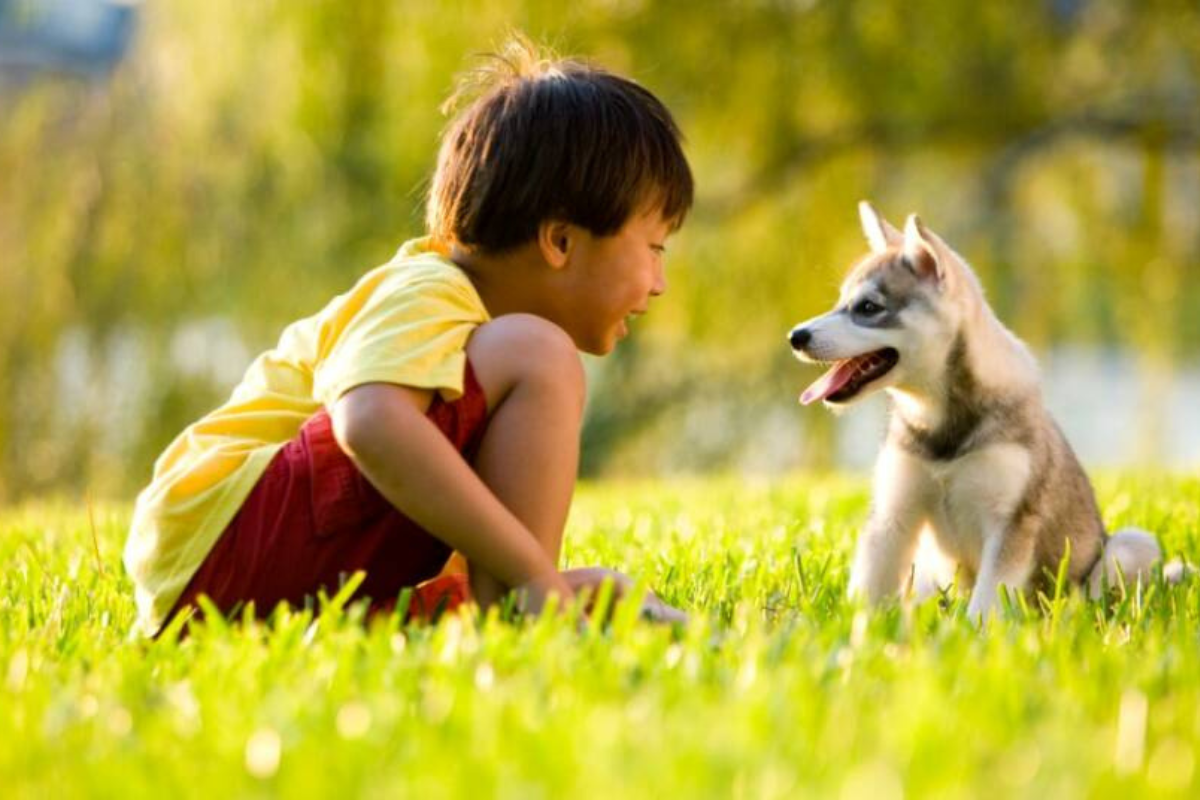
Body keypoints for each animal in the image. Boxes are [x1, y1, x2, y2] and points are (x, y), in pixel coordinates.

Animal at [787, 203, 1161, 623]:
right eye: (840, 303)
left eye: (868, 307)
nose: (796, 337)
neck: (939, 420)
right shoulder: (893, 515)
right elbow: (867, 589)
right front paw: (853, 630)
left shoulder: (1009, 523)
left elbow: (986, 602)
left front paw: (974, 634)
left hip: (1132, 546)